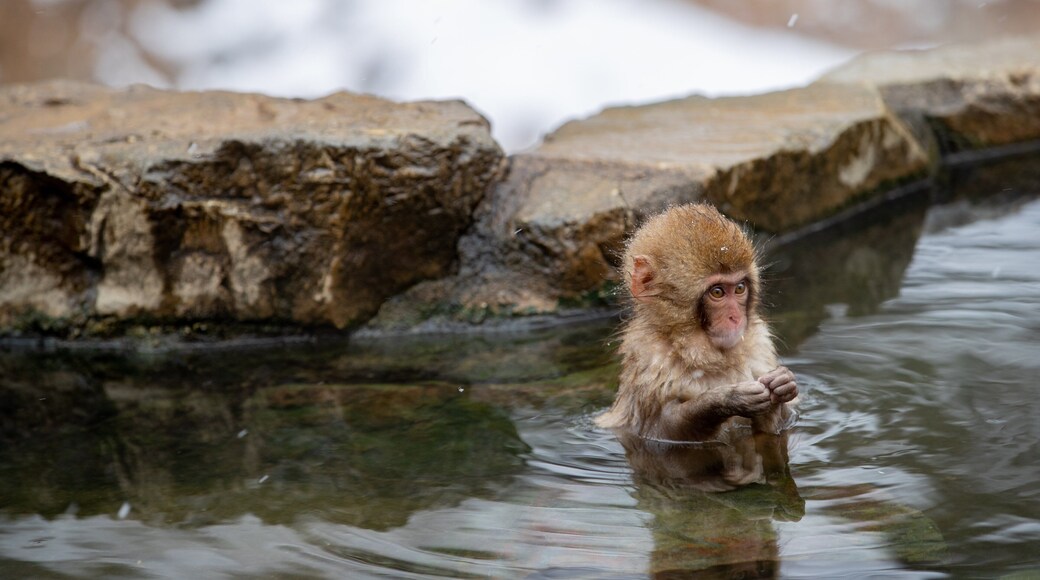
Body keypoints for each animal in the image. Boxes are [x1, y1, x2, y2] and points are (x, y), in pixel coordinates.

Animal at [596, 203, 798, 442]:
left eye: (739, 288)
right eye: (717, 292)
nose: (736, 318)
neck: (700, 352)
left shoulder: (760, 345)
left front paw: (781, 388)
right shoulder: (649, 359)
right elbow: (658, 431)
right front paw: (723, 399)